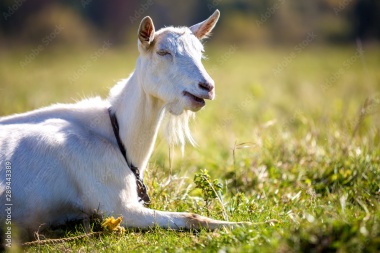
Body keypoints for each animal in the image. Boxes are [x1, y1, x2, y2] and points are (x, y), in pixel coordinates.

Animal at [0, 9, 246, 239]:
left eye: (200, 52)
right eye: (163, 52)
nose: (207, 86)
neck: (116, 136)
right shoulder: (117, 206)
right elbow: (193, 217)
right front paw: (246, 224)